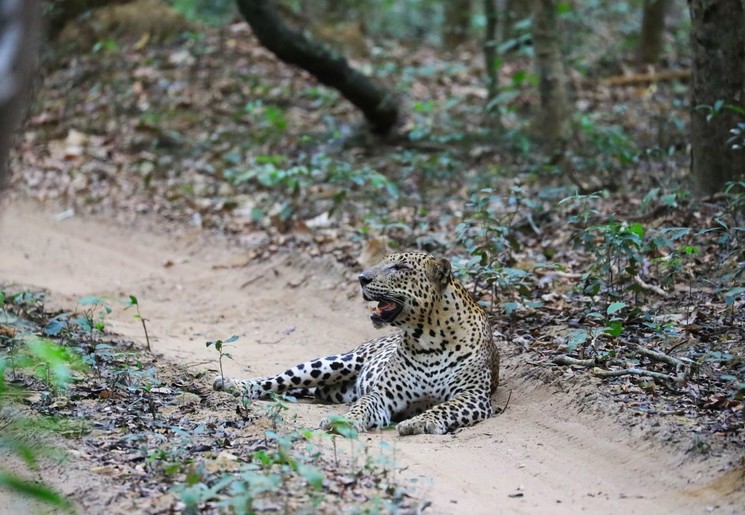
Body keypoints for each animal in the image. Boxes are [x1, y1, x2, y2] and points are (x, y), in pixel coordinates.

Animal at [214, 253, 500, 436]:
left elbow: (443, 407)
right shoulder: (383, 394)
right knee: (277, 379)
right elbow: (363, 405)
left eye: (399, 267)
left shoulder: (472, 396)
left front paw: (419, 422)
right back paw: (231, 384)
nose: (361, 278)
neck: (428, 338)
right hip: (335, 362)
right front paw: (343, 421)